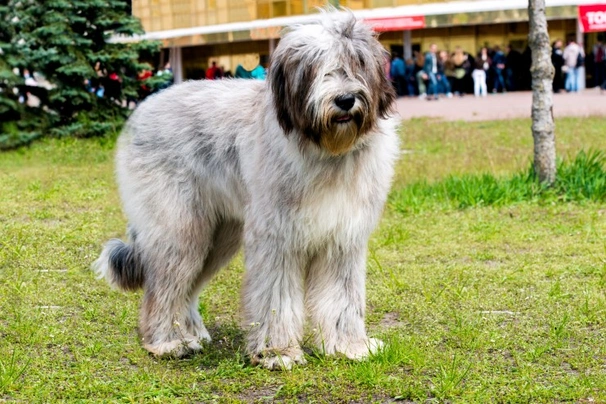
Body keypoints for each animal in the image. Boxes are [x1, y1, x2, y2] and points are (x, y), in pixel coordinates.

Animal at [94, 9, 400, 370]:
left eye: (357, 62)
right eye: (315, 67)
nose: (345, 100)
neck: (327, 152)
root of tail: (143, 107)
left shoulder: (342, 240)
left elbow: (343, 297)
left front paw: (350, 345)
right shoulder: (277, 238)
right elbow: (275, 296)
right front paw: (277, 351)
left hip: (219, 235)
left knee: (188, 287)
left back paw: (190, 332)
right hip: (180, 228)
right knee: (164, 287)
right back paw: (166, 341)